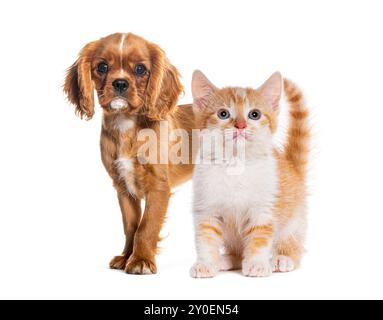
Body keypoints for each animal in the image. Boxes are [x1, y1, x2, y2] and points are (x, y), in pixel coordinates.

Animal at [64, 33, 195, 276]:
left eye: (141, 69)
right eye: (102, 67)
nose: (120, 83)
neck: (125, 124)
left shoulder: (158, 187)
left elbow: (146, 226)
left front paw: (141, 260)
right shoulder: (123, 187)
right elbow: (131, 226)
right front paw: (126, 257)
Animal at [190, 70, 310, 278]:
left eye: (254, 114)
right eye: (223, 114)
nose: (241, 125)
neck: (236, 164)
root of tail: (292, 167)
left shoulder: (263, 209)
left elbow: (259, 237)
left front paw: (256, 264)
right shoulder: (206, 208)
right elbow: (206, 238)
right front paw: (206, 263)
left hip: (295, 218)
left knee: (293, 242)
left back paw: (283, 258)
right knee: (237, 252)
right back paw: (227, 259)